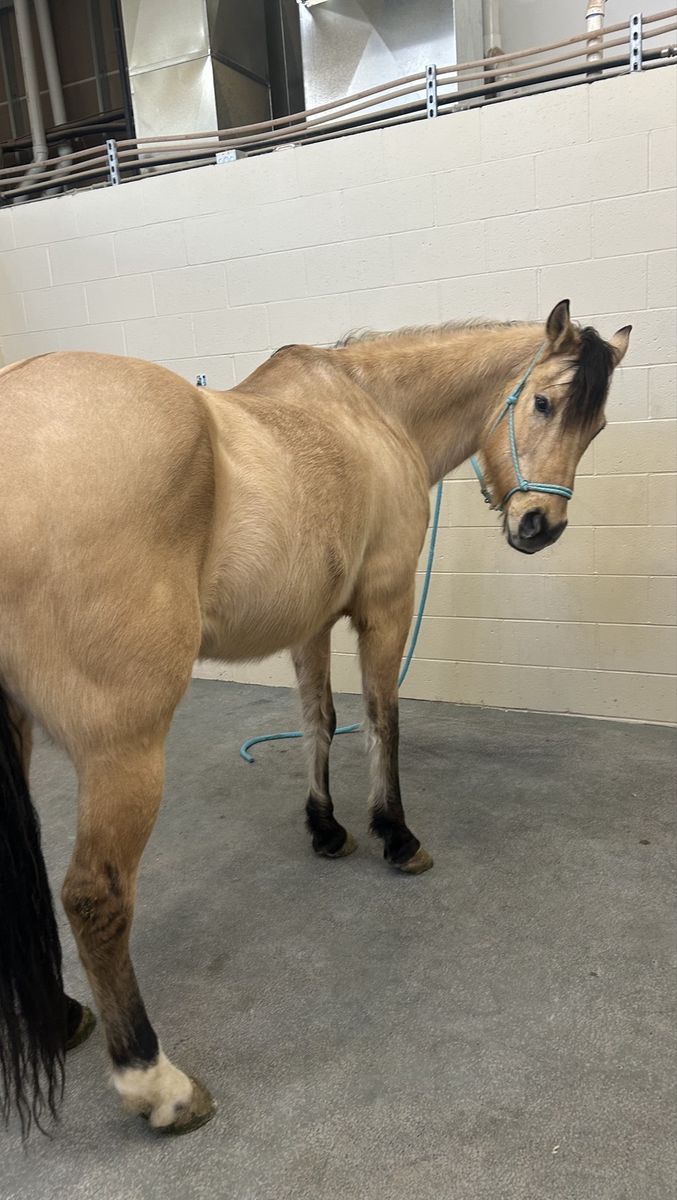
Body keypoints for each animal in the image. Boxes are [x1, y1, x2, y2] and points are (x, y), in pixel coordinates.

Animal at [0, 300, 630, 1137]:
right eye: (543, 402)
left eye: (596, 425)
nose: (537, 525)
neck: (370, 409)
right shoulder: (383, 606)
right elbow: (383, 720)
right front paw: (395, 835)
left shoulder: (309, 622)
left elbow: (319, 720)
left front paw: (325, 828)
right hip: (122, 749)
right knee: (94, 898)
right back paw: (156, 1083)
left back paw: (62, 1020)